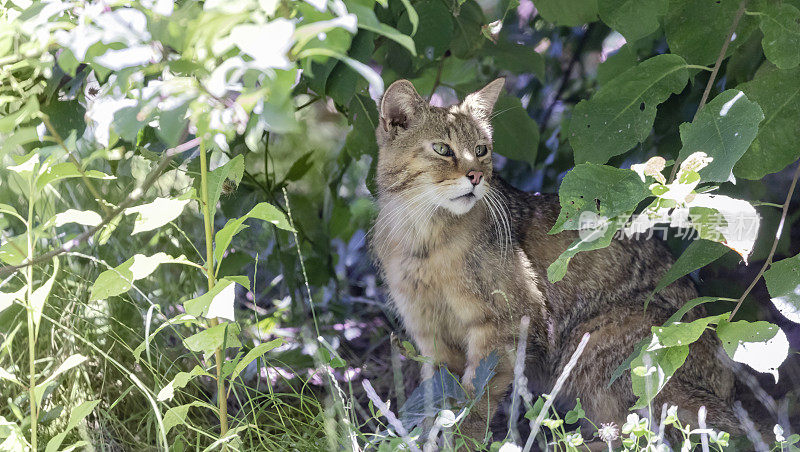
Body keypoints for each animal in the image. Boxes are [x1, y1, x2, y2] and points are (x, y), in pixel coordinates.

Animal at [370, 77, 764, 444]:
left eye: (481, 150)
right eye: (442, 149)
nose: (477, 176)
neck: (423, 237)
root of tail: (724, 390)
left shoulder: (504, 328)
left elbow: (474, 405)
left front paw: (462, 443)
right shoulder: (431, 338)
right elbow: (438, 401)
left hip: (593, 345)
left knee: (637, 433)